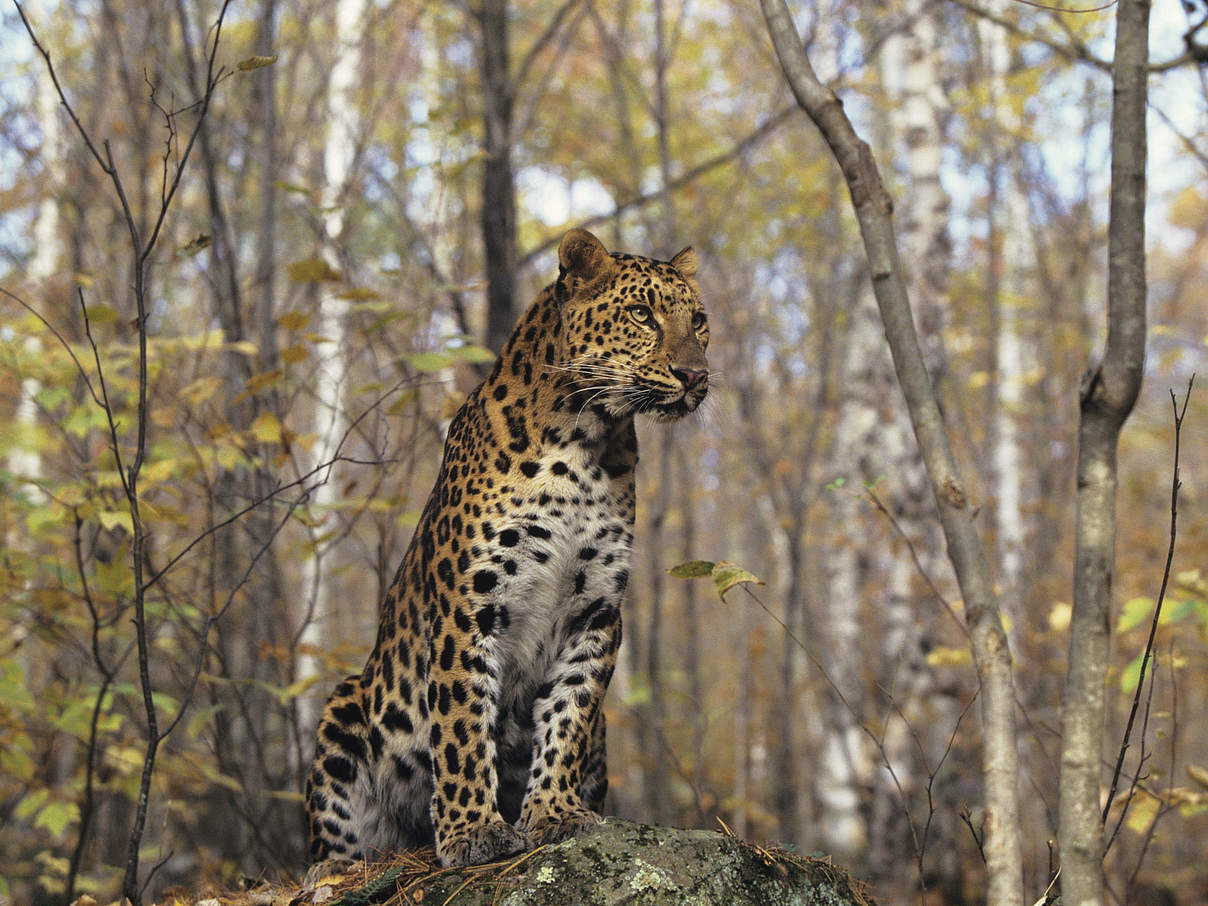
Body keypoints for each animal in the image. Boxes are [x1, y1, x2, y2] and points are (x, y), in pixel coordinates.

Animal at [304, 228, 705, 874]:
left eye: (699, 321)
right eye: (642, 315)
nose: (695, 375)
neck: (586, 444)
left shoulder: (596, 610)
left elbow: (570, 714)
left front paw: (555, 812)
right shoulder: (469, 604)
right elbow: (462, 722)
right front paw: (473, 831)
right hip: (347, 705)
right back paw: (343, 865)